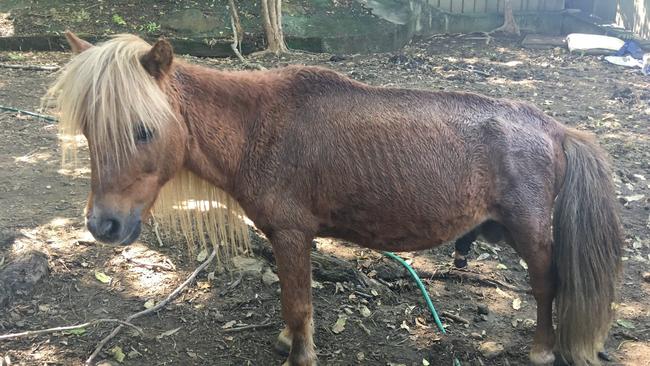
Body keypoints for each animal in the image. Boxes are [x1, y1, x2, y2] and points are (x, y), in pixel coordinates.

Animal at [48, 32, 620, 366]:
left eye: (143, 130)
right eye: (89, 130)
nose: (103, 225)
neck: (257, 129)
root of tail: (555, 128)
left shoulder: (292, 234)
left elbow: (298, 303)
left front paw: (299, 354)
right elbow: (292, 300)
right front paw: (287, 339)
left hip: (531, 232)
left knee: (546, 286)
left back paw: (543, 350)